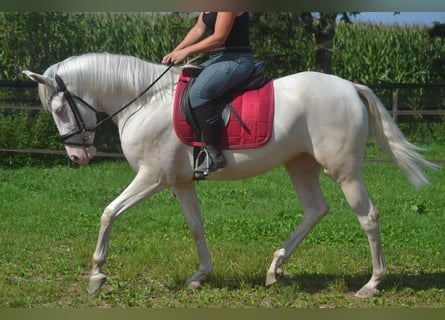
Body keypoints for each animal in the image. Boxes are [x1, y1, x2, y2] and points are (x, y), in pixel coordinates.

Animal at [22, 52, 436, 298]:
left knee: (368, 216)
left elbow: (109, 213)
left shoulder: (153, 178)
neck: (145, 101)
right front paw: (199, 276)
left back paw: (372, 284)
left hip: (344, 170)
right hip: (300, 164)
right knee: (316, 210)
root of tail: (349, 86)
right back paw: (275, 268)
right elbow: (196, 226)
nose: (78, 156)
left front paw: (96, 276)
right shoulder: (180, 182)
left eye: (59, 108)